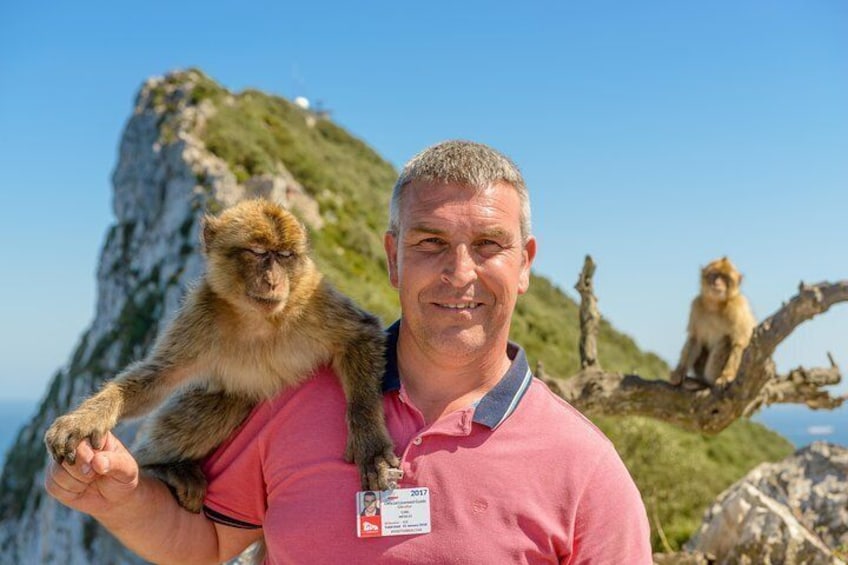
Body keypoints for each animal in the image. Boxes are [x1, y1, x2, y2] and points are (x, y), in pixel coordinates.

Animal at [668, 256, 756, 386]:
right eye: (715, 275)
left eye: (725, 278)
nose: (717, 283)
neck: (715, 306)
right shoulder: (696, 305)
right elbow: (694, 339)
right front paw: (679, 371)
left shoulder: (738, 306)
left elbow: (739, 343)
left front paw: (727, 375)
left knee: (726, 340)